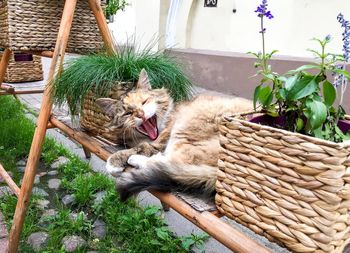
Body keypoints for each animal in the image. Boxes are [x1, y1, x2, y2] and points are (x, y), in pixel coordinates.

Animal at [97, 68, 253, 201]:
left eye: (144, 102)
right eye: (128, 113)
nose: (141, 114)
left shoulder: (159, 141)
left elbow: (138, 148)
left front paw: (113, 163)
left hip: (185, 128)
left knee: (170, 163)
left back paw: (135, 160)